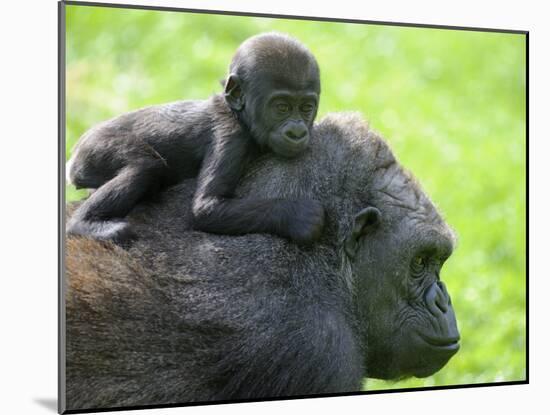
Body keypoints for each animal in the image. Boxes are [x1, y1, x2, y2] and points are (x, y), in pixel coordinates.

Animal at [65, 34, 326, 245]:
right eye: (281, 108)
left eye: (306, 108)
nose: (297, 132)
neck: (237, 113)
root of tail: (73, 156)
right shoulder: (230, 137)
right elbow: (207, 208)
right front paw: (298, 215)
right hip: (95, 146)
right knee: (144, 166)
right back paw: (86, 224)